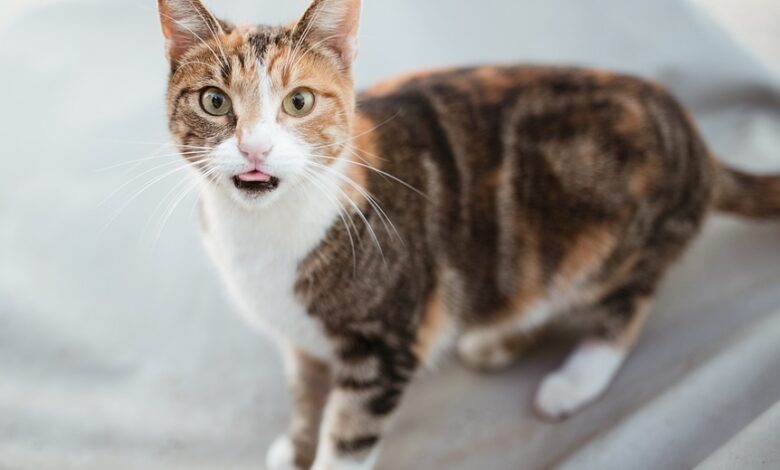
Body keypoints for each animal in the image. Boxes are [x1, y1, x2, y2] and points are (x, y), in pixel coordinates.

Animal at [155, 0, 776, 470]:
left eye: (299, 101)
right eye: (215, 100)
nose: (254, 149)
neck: (266, 236)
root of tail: (697, 143)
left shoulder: (383, 342)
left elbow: (348, 436)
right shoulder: (300, 339)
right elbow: (306, 395)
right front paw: (298, 445)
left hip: (615, 245)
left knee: (625, 303)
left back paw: (574, 380)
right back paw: (496, 341)